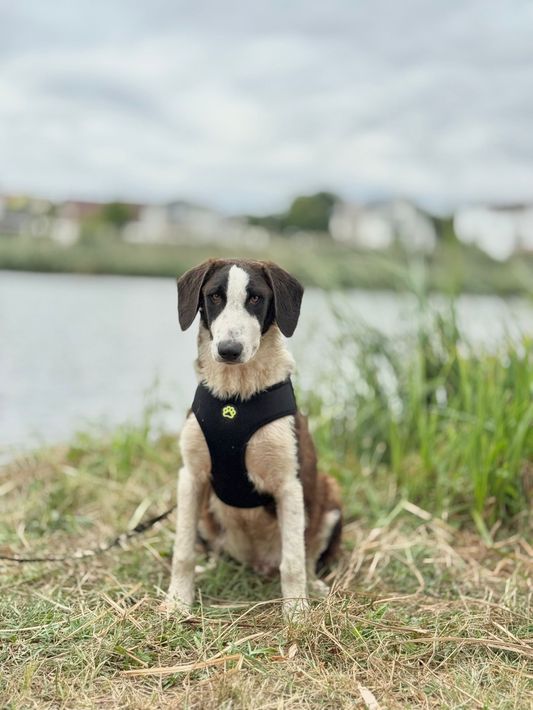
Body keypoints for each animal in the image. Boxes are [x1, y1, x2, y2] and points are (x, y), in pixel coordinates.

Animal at [163, 258, 342, 618]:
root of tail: (258, 563)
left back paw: (314, 585)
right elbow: (183, 552)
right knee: (215, 549)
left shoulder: (289, 484)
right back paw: (212, 568)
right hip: (206, 515)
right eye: (214, 296)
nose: (229, 350)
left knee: (308, 555)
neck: (235, 397)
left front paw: (297, 614)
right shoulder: (191, 476)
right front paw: (177, 602)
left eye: (256, 298)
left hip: (330, 494)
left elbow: (294, 563)